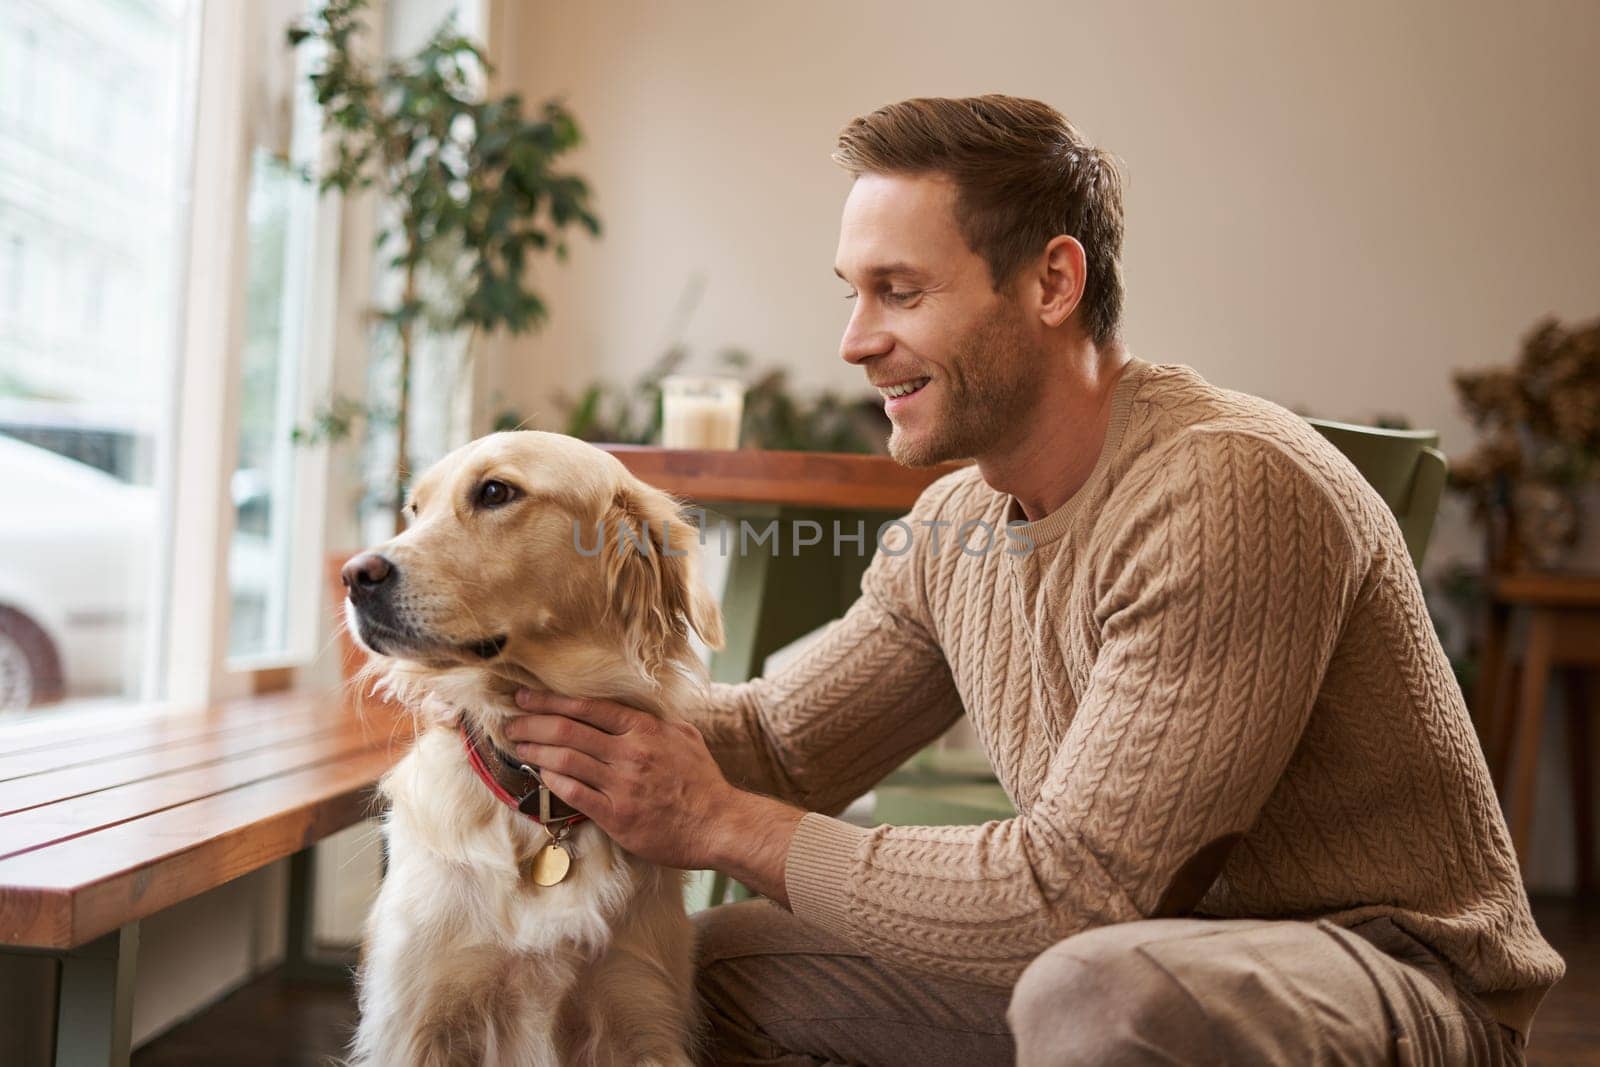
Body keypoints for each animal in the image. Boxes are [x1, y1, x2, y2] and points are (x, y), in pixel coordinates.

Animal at [340, 428, 723, 1062]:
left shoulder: (644, 1016)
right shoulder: (421, 1018)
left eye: (496, 492)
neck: (539, 801)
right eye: (415, 510)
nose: (352, 574)